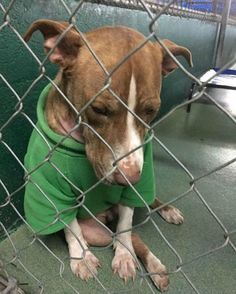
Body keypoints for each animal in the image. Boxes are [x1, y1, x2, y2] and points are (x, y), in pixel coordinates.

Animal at [23, 19, 192, 292]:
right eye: (99, 109)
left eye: (151, 110)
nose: (129, 178)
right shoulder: (52, 190)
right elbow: (71, 227)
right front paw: (82, 258)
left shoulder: (136, 185)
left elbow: (125, 226)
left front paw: (123, 256)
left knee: (135, 230)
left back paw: (158, 247)